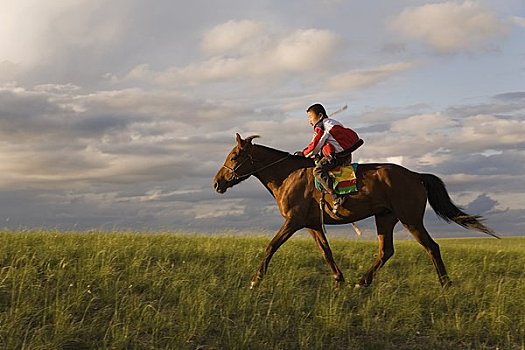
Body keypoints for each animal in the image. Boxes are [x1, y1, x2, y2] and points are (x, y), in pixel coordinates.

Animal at [212, 133, 496, 288]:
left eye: (234, 156)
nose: (217, 183)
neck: (288, 175)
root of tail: (416, 175)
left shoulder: (293, 222)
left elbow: (271, 247)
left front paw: (255, 280)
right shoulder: (312, 224)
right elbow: (326, 252)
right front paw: (339, 279)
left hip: (410, 220)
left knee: (431, 247)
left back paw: (446, 283)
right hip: (385, 219)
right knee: (386, 251)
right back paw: (363, 282)